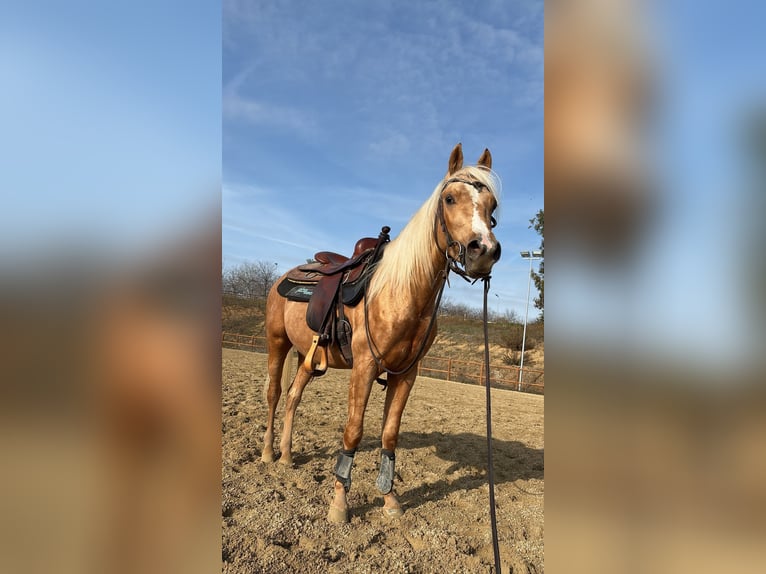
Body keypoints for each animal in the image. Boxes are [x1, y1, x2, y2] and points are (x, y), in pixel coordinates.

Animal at [262, 143, 502, 523]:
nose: (485, 251)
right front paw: (339, 503)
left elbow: (389, 435)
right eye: (449, 198)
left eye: (492, 207)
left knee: (293, 396)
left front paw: (390, 499)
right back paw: (268, 454)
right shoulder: (364, 367)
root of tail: (285, 276)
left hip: (307, 357)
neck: (399, 291)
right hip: (277, 342)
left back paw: (286, 456)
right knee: (273, 393)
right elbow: (354, 431)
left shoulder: (406, 373)